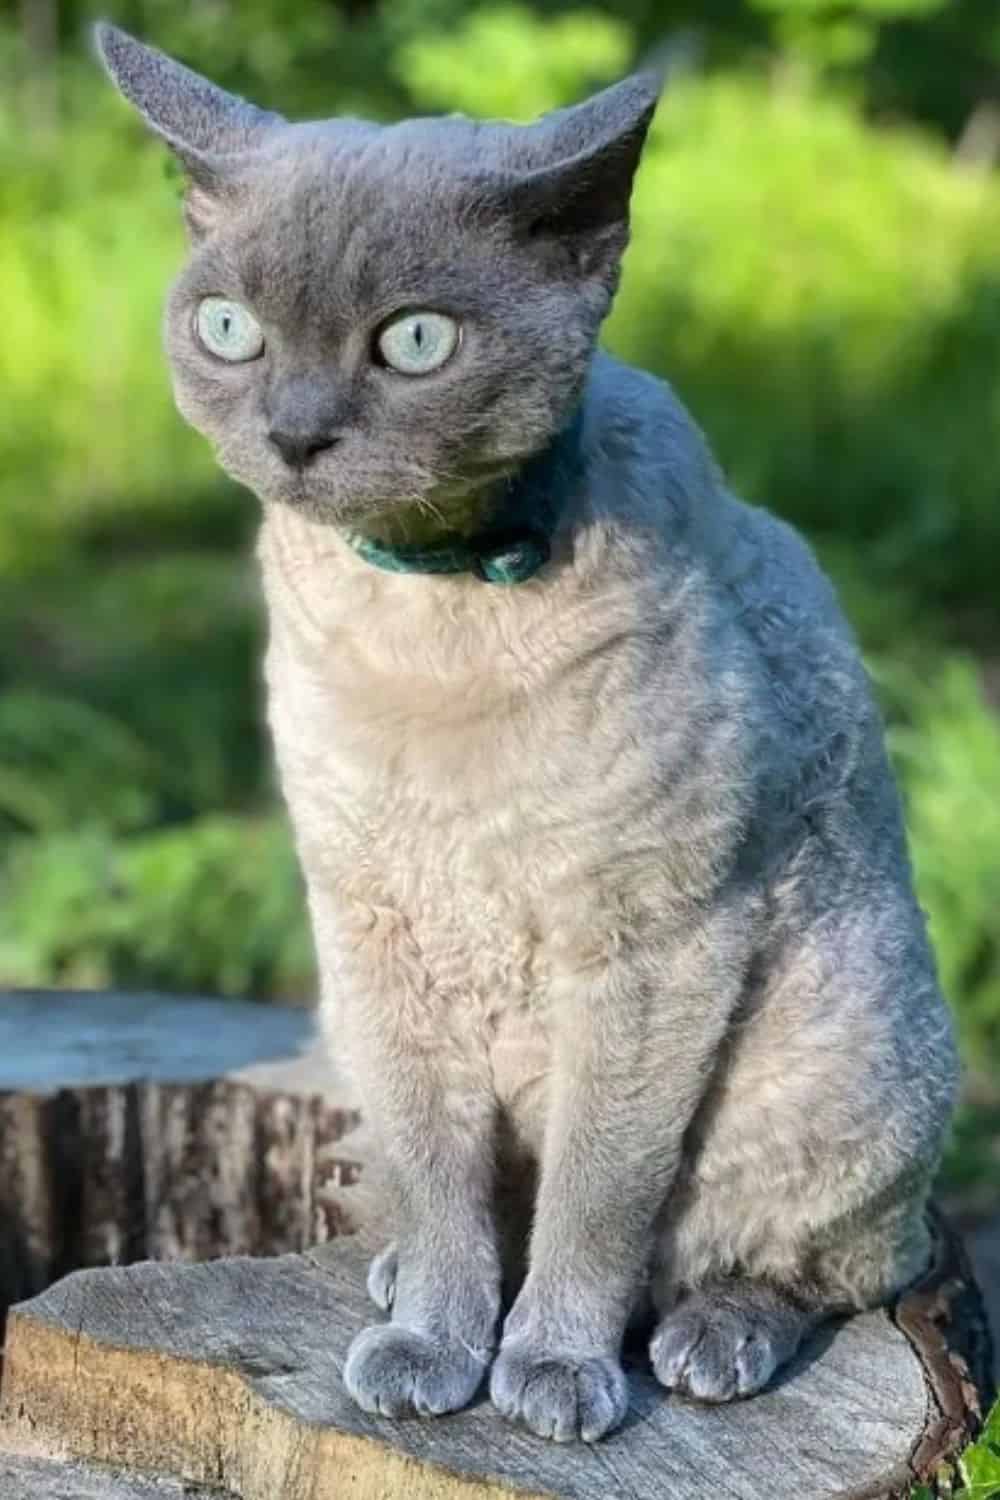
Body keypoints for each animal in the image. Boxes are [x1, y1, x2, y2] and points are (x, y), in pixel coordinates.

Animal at [97, 23, 959, 1440]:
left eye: (415, 342)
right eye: (231, 332)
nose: (295, 431)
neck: (423, 614)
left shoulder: (645, 948)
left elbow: (595, 1203)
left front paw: (550, 1370)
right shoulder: (378, 928)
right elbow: (444, 1177)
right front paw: (435, 1346)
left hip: (843, 1066)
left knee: (836, 1263)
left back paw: (707, 1340)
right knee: (439, 1189)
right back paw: (398, 1282)